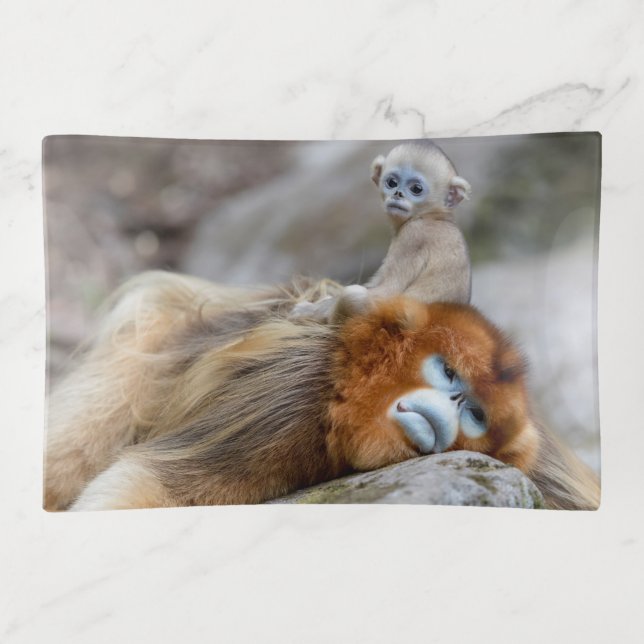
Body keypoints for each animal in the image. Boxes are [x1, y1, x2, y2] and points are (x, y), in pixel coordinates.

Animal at [44, 271, 599, 511]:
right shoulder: (297, 391)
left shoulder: (537, 469)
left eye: (478, 415)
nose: (448, 408)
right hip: (154, 337)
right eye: (447, 374)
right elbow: (144, 484)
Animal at [290, 140, 472, 324]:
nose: (398, 194)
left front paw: (313, 311)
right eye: (392, 182)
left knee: (353, 295)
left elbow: (387, 292)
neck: (434, 216)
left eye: (416, 188)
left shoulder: (413, 236)